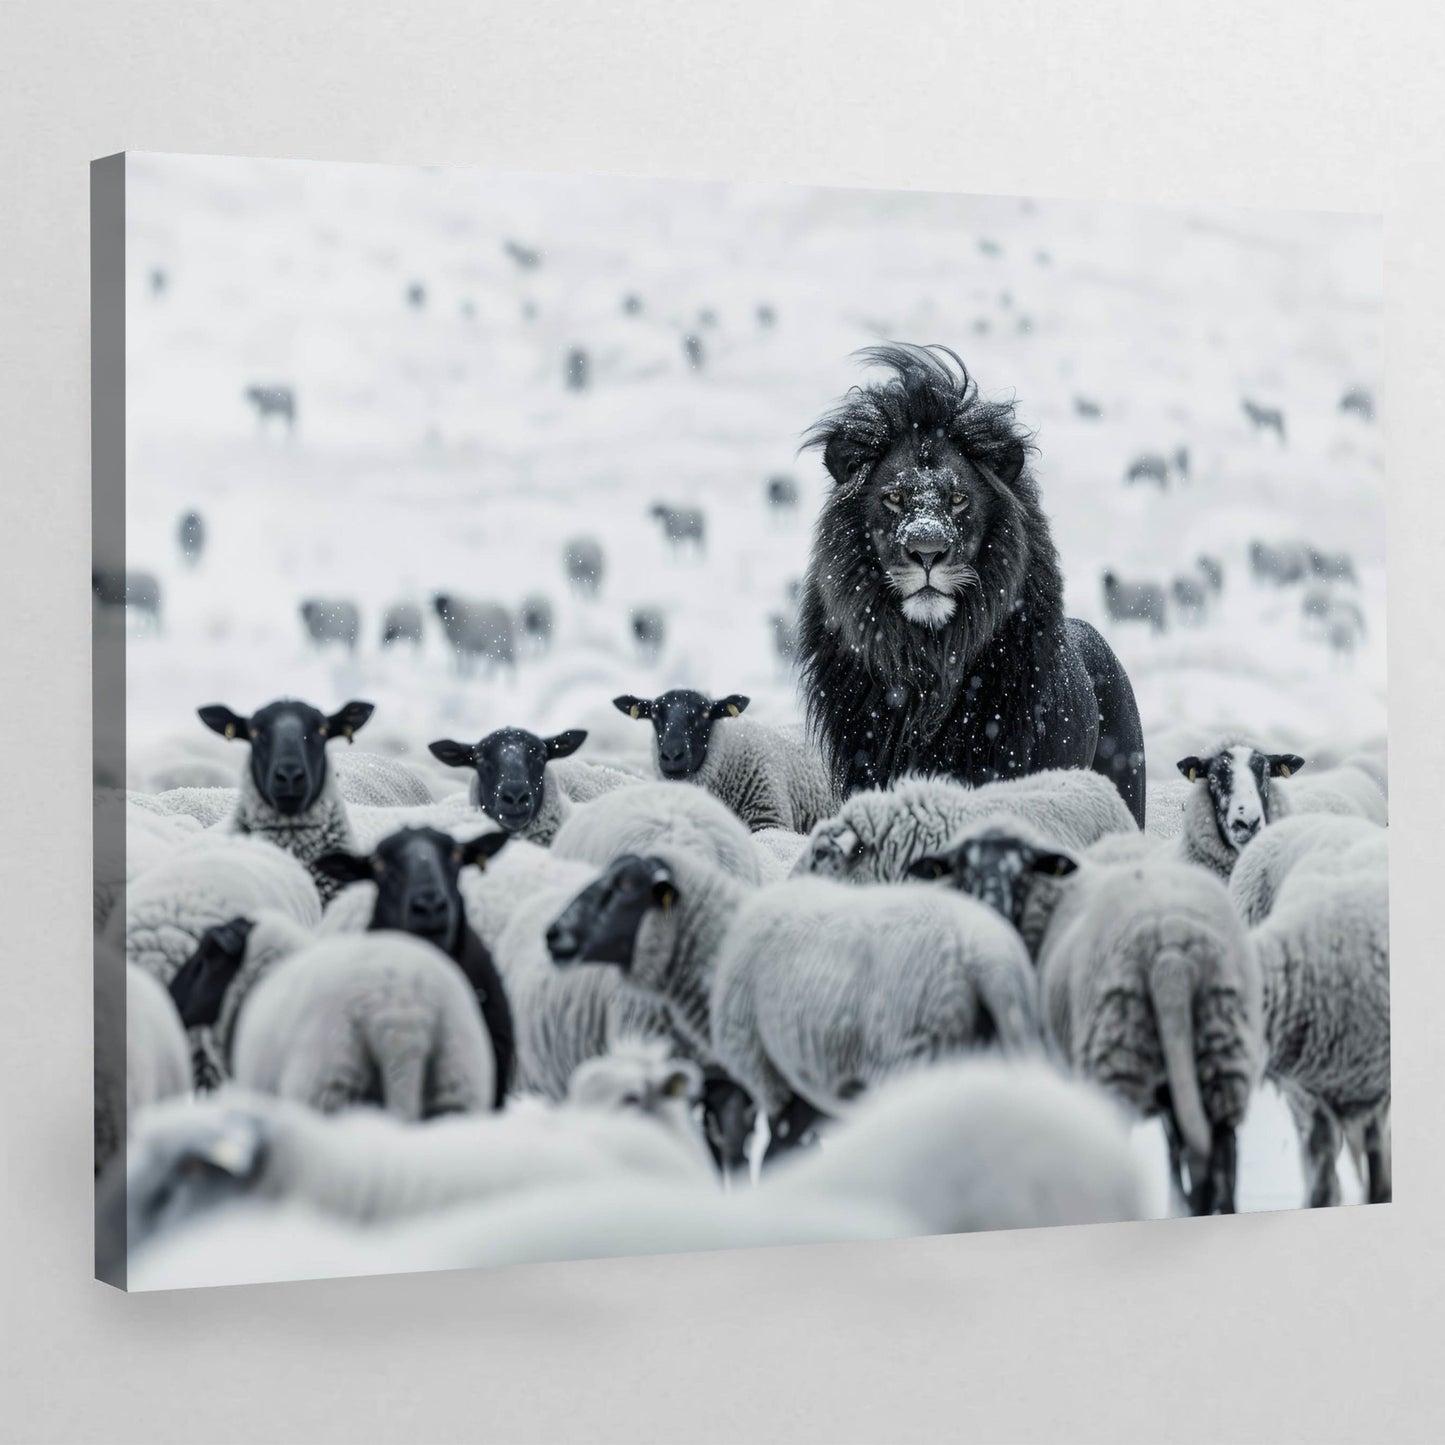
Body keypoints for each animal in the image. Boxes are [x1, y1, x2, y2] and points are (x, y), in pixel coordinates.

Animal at [547, 848, 1040, 1161]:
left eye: (625, 887)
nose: (552, 934)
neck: (719, 945)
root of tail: (984, 956)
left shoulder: (770, 1082)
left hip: (913, 1061)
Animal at [910, 823, 1264, 1214]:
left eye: (1022, 871)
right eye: (962, 869)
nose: (991, 910)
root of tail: (1170, 956)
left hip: (1115, 1056)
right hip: (1218, 1053)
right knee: (1221, 1171)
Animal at [1246, 847, 1390, 1205]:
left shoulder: (1378, 1089)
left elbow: (1376, 1151)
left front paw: (1380, 1194)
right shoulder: (1309, 1095)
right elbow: (1322, 1158)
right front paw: (1322, 1199)